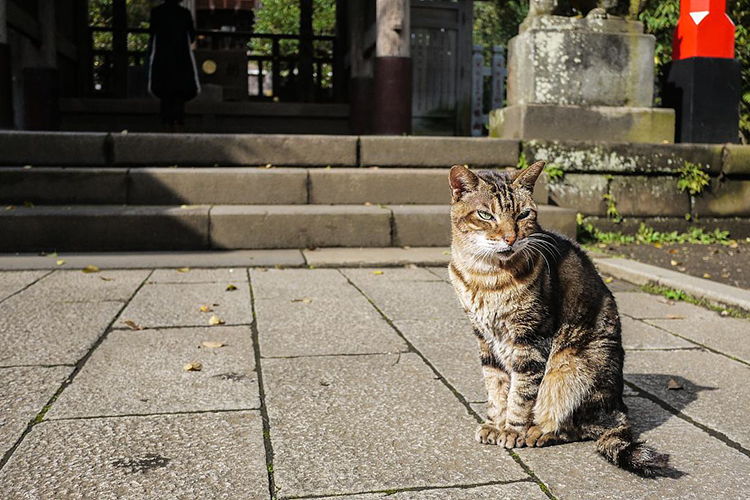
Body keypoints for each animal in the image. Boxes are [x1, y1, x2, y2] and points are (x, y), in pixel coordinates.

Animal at [450, 162, 672, 474]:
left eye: (523, 215)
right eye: (486, 215)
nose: (510, 238)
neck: (485, 275)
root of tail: (619, 408)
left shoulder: (531, 340)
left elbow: (521, 393)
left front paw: (512, 430)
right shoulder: (484, 338)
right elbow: (496, 386)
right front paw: (495, 423)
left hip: (567, 367)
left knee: (576, 426)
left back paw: (539, 432)